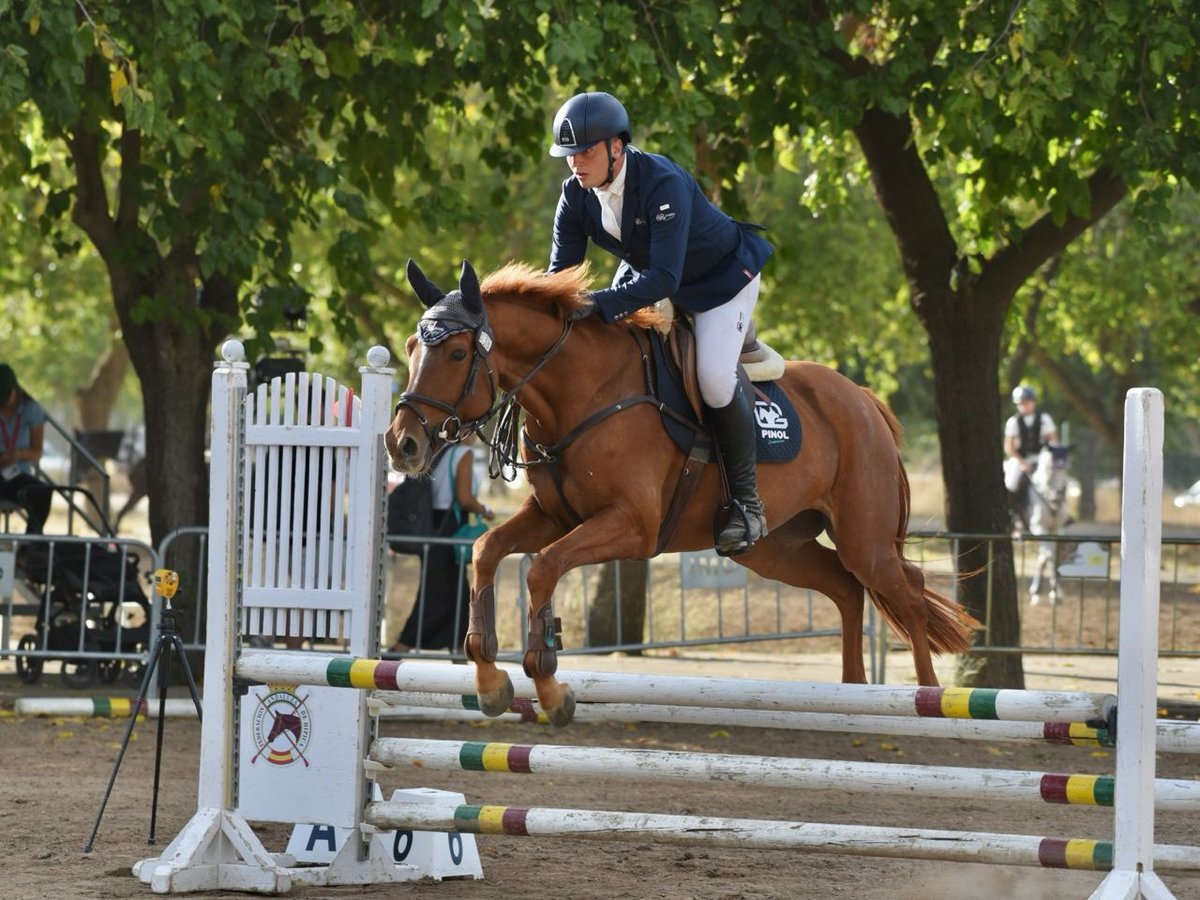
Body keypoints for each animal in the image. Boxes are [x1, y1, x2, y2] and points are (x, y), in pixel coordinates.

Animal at [384, 259, 974, 724]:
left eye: (457, 354)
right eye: (411, 347)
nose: (401, 444)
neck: (581, 390)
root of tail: (864, 400)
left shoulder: (632, 525)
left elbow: (542, 568)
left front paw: (549, 686)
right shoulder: (554, 515)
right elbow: (487, 551)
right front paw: (490, 681)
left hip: (863, 539)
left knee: (907, 592)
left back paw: (928, 701)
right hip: (776, 548)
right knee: (848, 590)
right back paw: (854, 696)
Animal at [1027, 441, 1075, 607]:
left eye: (1065, 474)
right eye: (1050, 475)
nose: (1056, 498)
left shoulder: (1055, 529)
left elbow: (1046, 557)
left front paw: (1053, 593)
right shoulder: (1037, 526)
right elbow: (1050, 556)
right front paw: (1051, 593)